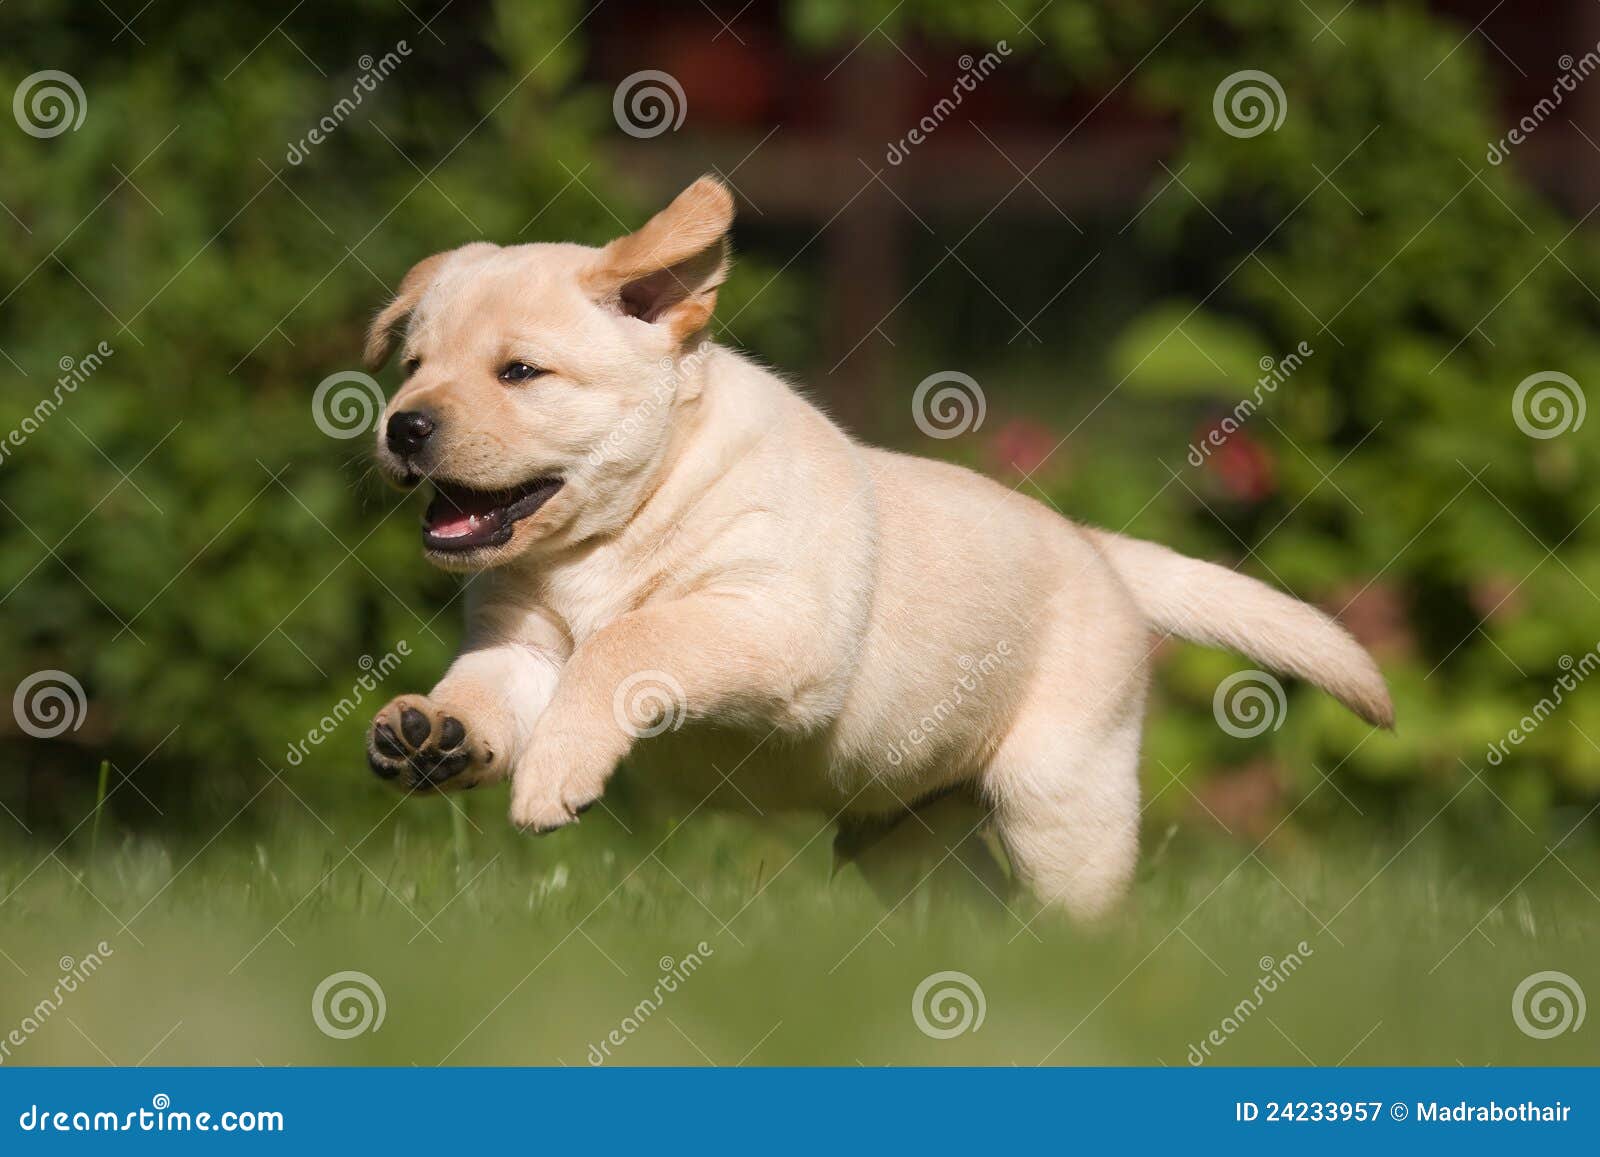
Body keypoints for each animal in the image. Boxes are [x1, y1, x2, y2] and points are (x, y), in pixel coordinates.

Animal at [363, 176, 1388, 921]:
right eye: (412, 366)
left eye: (520, 372)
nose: (402, 426)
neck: (610, 533)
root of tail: (1094, 544)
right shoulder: (521, 646)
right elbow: (488, 690)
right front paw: (433, 731)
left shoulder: (777, 624)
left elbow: (629, 640)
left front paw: (554, 774)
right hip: (906, 832)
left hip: (1061, 795)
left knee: (1076, 909)